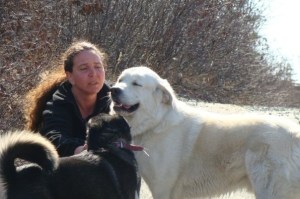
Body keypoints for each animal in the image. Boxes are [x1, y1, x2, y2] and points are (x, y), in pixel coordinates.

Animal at [110, 66, 300, 198]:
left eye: (136, 84)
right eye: (120, 79)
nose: (113, 90)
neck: (156, 122)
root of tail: (295, 133)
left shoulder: (163, 189)